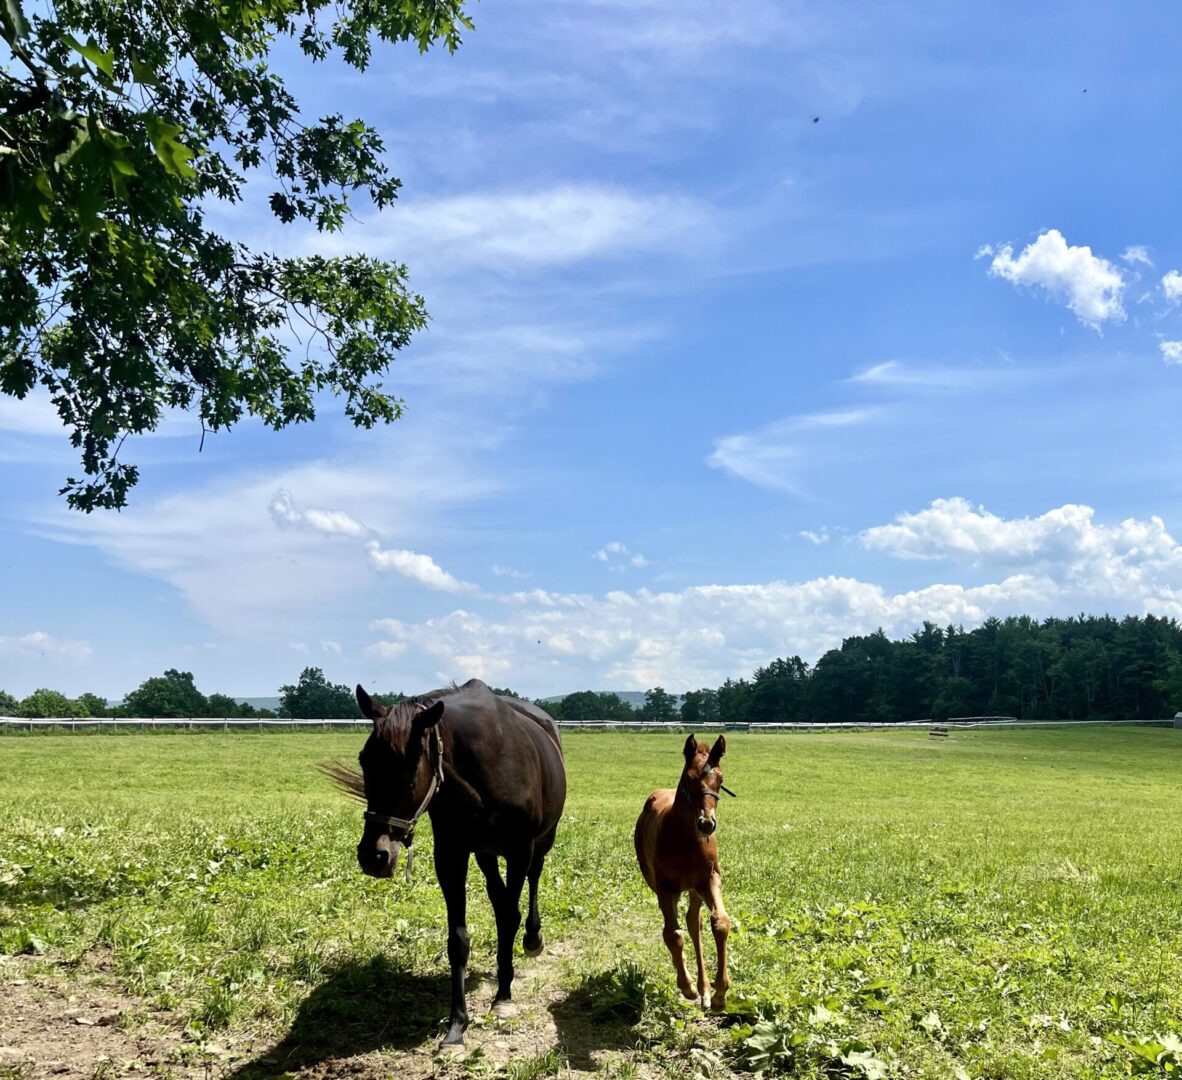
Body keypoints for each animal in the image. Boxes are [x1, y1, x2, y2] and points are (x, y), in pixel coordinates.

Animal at [333, 680, 567, 1044]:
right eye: (364, 760)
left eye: (410, 765)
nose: (374, 855)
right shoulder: (451, 853)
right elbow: (458, 938)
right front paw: (457, 1023)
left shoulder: (519, 851)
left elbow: (509, 918)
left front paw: (503, 997)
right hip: (485, 852)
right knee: (498, 894)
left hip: (541, 841)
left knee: (532, 881)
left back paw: (532, 939)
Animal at [633, 732, 732, 1011]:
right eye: (689, 778)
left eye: (720, 779)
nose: (706, 823)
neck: (686, 841)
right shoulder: (666, 889)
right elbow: (672, 934)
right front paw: (687, 987)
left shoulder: (710, 880)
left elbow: (720, 922)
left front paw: (720, 992)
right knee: (681, 926)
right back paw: (697, 987)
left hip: (696, 889)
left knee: (693, 922)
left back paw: (706, 990)